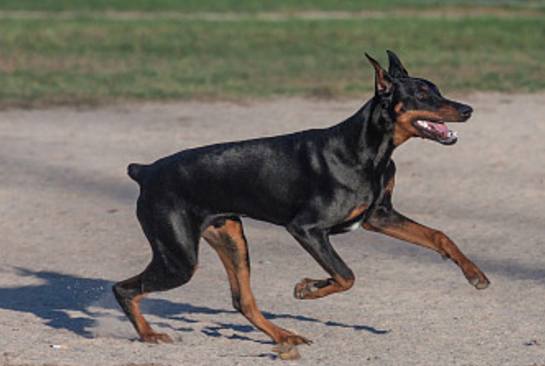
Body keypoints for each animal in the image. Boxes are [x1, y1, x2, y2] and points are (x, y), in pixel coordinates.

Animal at [113, 50, 488, 346]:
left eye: (437, 89)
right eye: (422, 94)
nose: (468, 109)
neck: (368, 149)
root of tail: (145, 171)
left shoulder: (380, 215)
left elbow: (438, 235)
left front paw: (475, 275)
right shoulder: (307, 228)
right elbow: (346, 275)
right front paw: (309, 287)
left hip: (230, 236)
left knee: (243, 301)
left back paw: (284, 337)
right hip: (179, 259)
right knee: (123, 289)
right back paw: (149, 335)